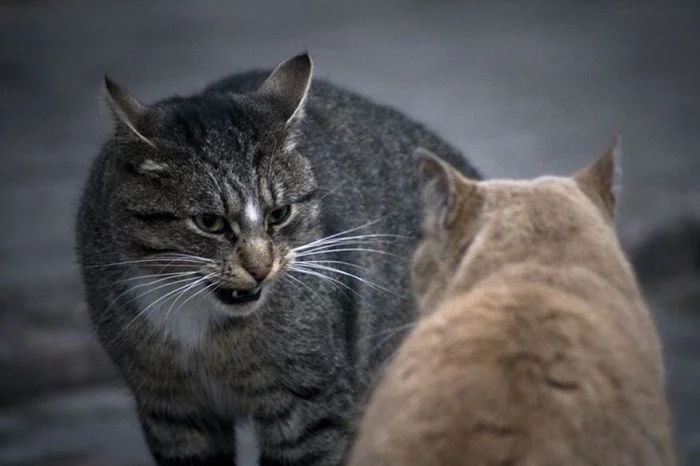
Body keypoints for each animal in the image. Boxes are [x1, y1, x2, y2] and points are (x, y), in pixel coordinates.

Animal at [76, 52, 482, 466]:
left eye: (279, 214)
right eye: (209, 222)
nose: (260, 267)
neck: (199, 323)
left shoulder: (311, 406)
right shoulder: (171, 410)